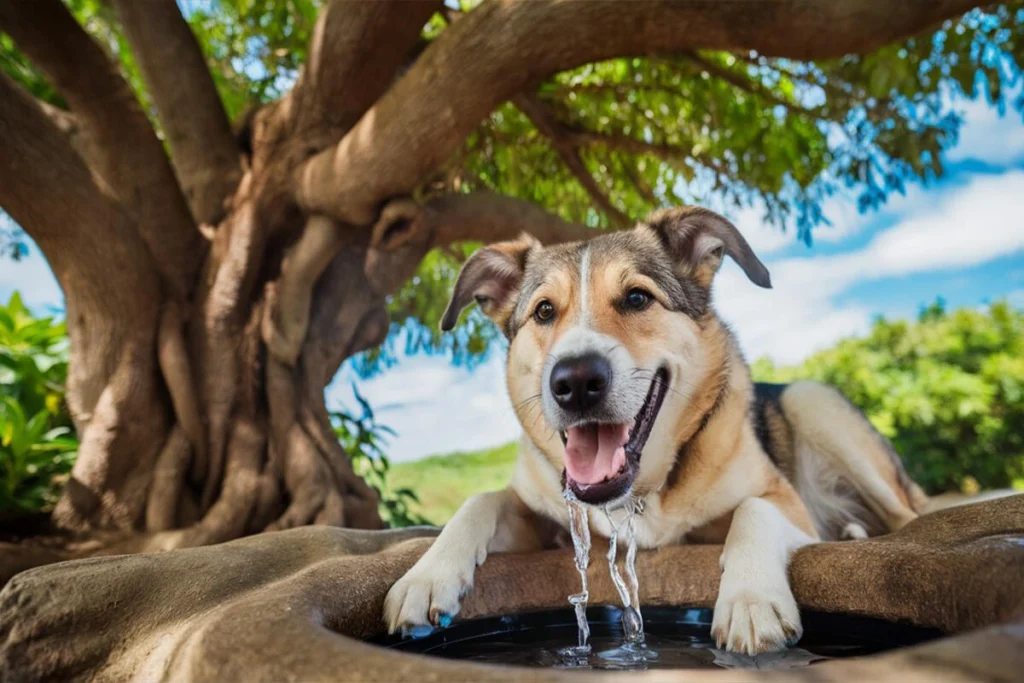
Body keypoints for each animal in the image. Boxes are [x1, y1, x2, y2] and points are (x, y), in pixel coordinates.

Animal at [380, 205, 925, 655]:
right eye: (544, 311)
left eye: (637, 297)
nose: (575, 382)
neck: (640, 493)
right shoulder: (546, 523)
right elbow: (482, 501)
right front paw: (426, 575)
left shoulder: (786, 501)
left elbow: (752, 510)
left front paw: (750, 598)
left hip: (813, 400)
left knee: (904, 515)